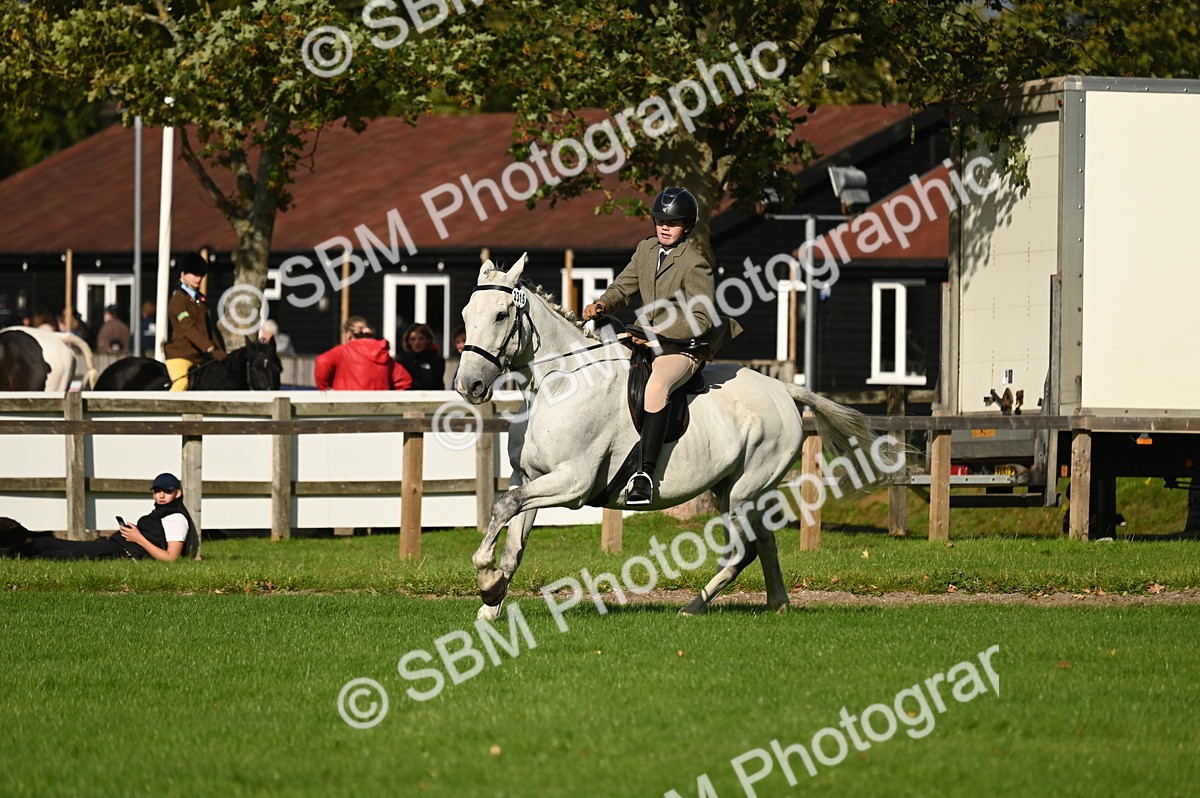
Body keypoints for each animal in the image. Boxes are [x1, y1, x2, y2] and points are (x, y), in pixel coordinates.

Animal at [455, 255, 895, 621]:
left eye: (500, 315)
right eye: (465, 314)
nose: (467, 385)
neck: (561, 384)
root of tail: (784, 391)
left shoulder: (571, 483)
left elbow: (503, 508)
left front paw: (485, 580)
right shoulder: (529, 477)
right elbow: (512, 539)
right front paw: (491, 603)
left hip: (743, 490)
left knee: (743, 551)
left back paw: (694, 606)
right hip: (735, 490)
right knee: (765, 543)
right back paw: (779, 605)